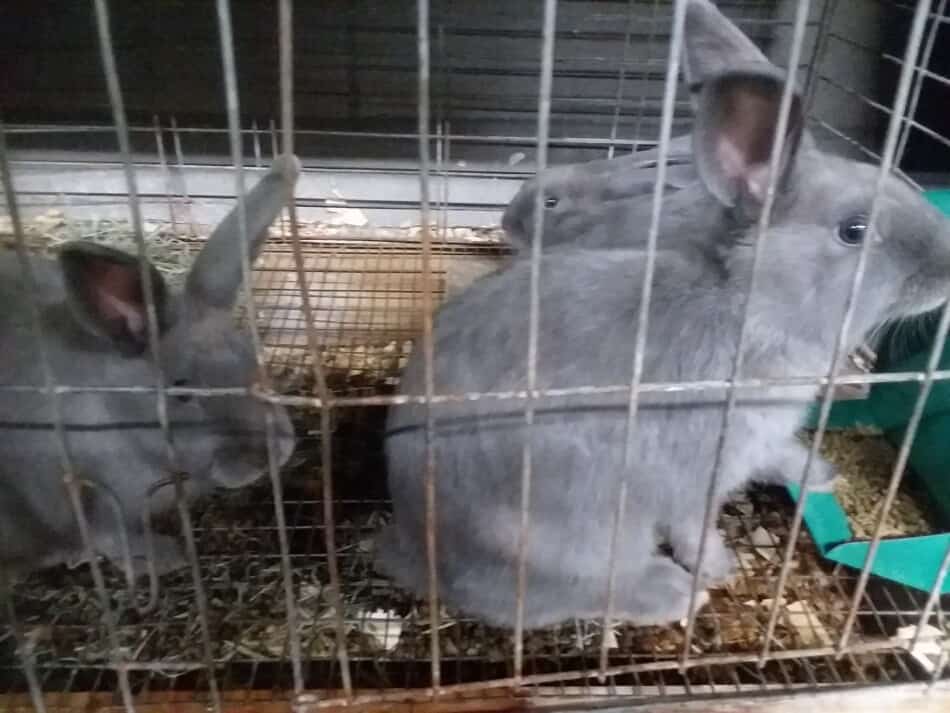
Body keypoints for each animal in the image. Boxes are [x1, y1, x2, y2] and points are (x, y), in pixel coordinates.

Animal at [0, 154, 302, 580]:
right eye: (182, 392)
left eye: (254, 360)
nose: (274, 452)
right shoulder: (82, 494)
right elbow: (113, 536)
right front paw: (166, 557)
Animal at [380, 0, 950, 628]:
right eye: (855, 231)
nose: (947, 266)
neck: (752, 308)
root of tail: (419, 552)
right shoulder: (701, 471)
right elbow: (694, 527)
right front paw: (721, 568)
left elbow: (781, 456)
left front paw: (824, 477)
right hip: (583, 539)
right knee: (584, 590)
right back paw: (676, 593)